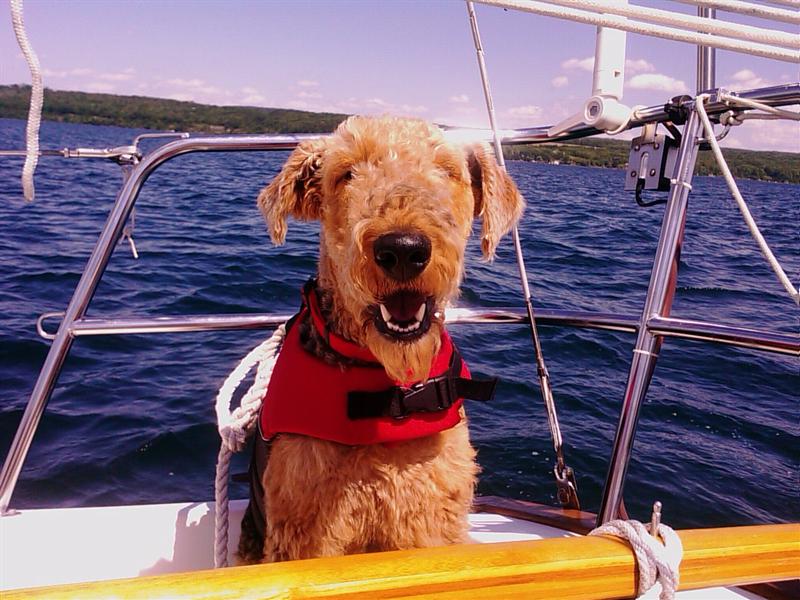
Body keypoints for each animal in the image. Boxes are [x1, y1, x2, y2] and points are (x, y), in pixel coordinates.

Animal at [239, 116, 524, 564]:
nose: (403, 249)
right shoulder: (305, 529)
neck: (386, 387)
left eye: (447, 170)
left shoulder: (430, 514)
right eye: (346, 174)